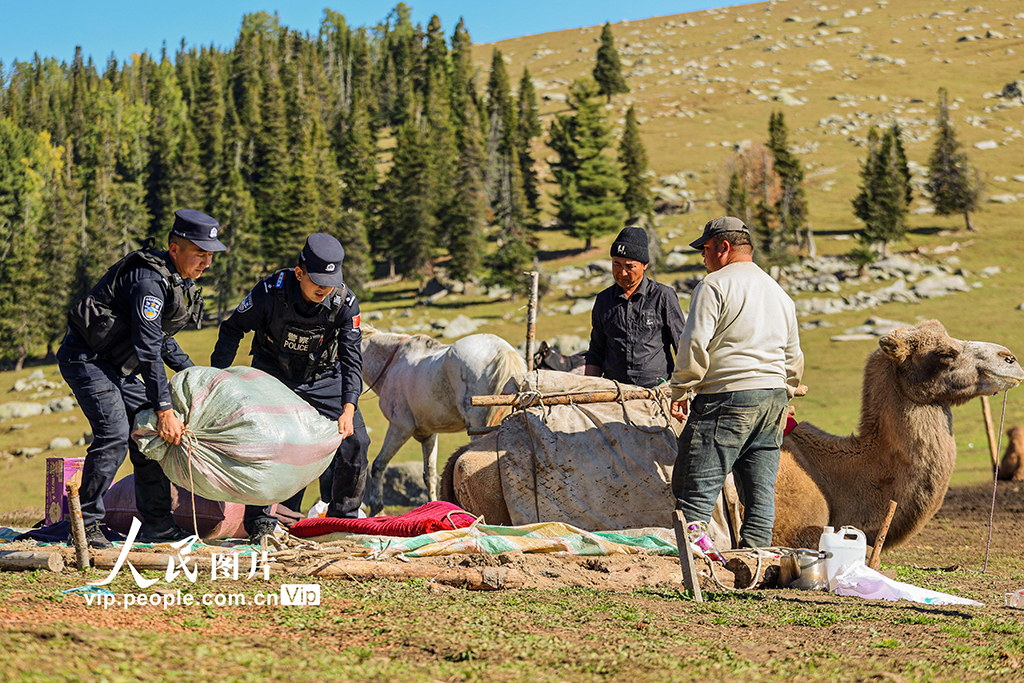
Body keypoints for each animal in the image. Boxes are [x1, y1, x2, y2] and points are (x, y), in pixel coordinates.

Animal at [360, 325, 524, 511]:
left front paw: (376, 507)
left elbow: (378, 466)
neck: (393, 364)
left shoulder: (399, 428)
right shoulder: (428, 435)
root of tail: (502, 350)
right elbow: (429, 475)